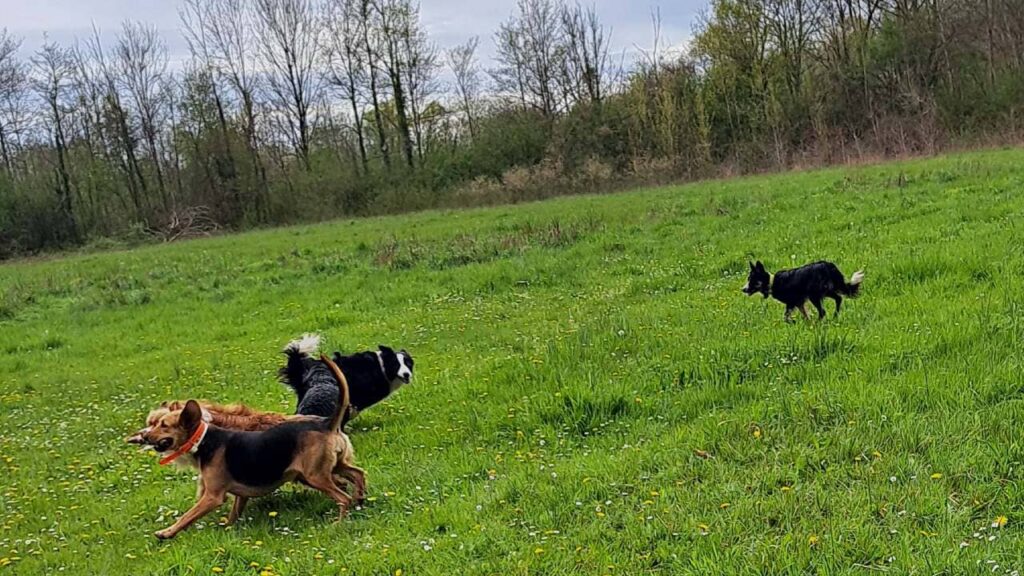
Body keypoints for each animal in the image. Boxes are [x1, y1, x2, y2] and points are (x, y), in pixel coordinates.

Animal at [138, 354, 366, 537]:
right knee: (358, 474)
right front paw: (227, 529)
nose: (144, 437)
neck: (203, 438)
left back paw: (339, 522)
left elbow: (187, 516)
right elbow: (232, 515)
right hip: (330, 467)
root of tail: (326, 422)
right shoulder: (240, 494)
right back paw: (360, 500)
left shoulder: (212, 497)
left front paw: (166, 532)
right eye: (153, 423)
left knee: (343, 496)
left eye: (162, 425)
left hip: (314, 475)